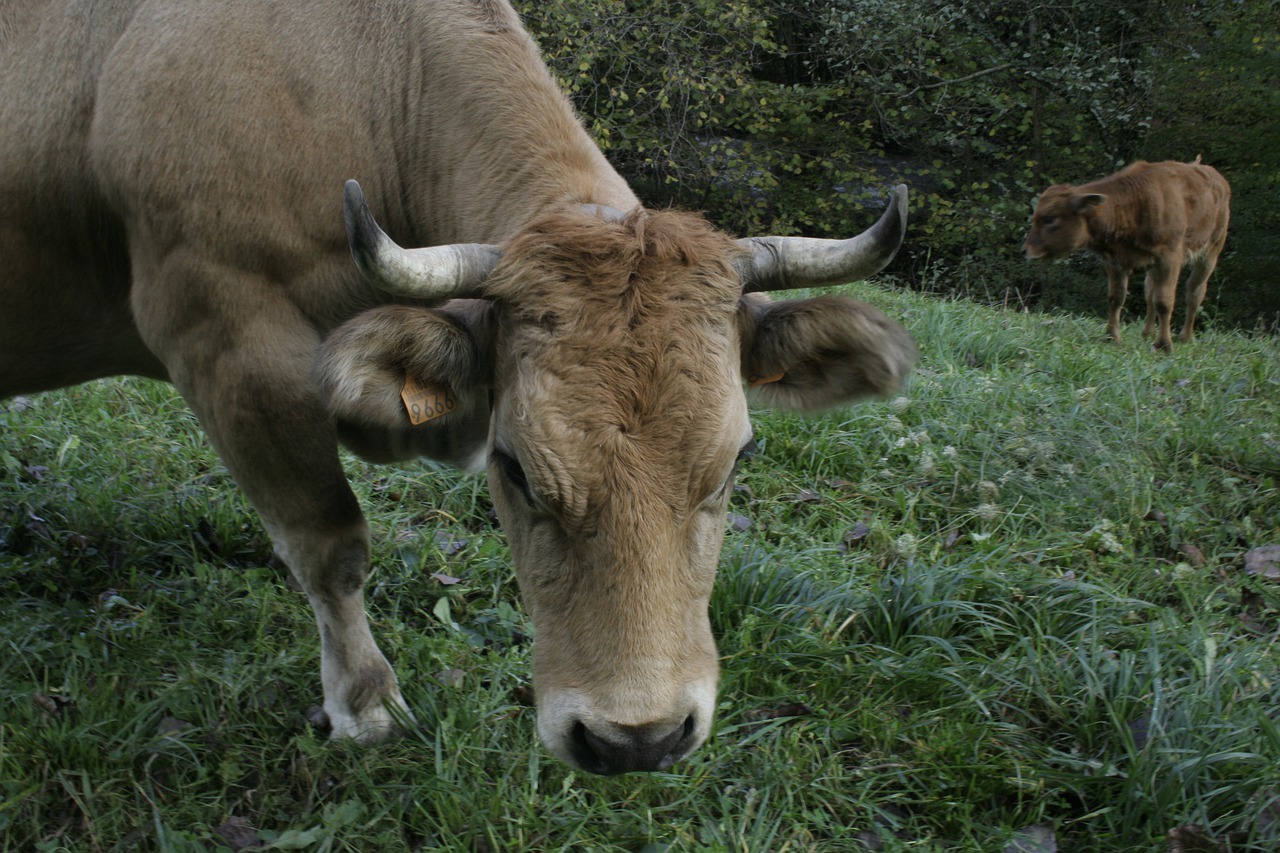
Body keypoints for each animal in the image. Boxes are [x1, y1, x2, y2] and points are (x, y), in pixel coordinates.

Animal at [5, 0, 916, 768]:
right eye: (516, 469)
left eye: (734, 462)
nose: (637, 740)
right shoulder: (227, 339)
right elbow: (330, 544)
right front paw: (366, 705)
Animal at [1018, 159, 1228, 348]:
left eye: (1049, 218)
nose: (1026, 250)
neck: (1137, 202)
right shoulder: (1116, 262)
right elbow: (1117, 298)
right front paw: (1112, 337)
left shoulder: (1169, 259)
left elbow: (1164, 301)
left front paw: (1164, 345)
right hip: (1154, 267)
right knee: (1150, 292)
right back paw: (1147, 333)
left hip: (1210, 254)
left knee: (1194, 291)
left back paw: (1185, 337)